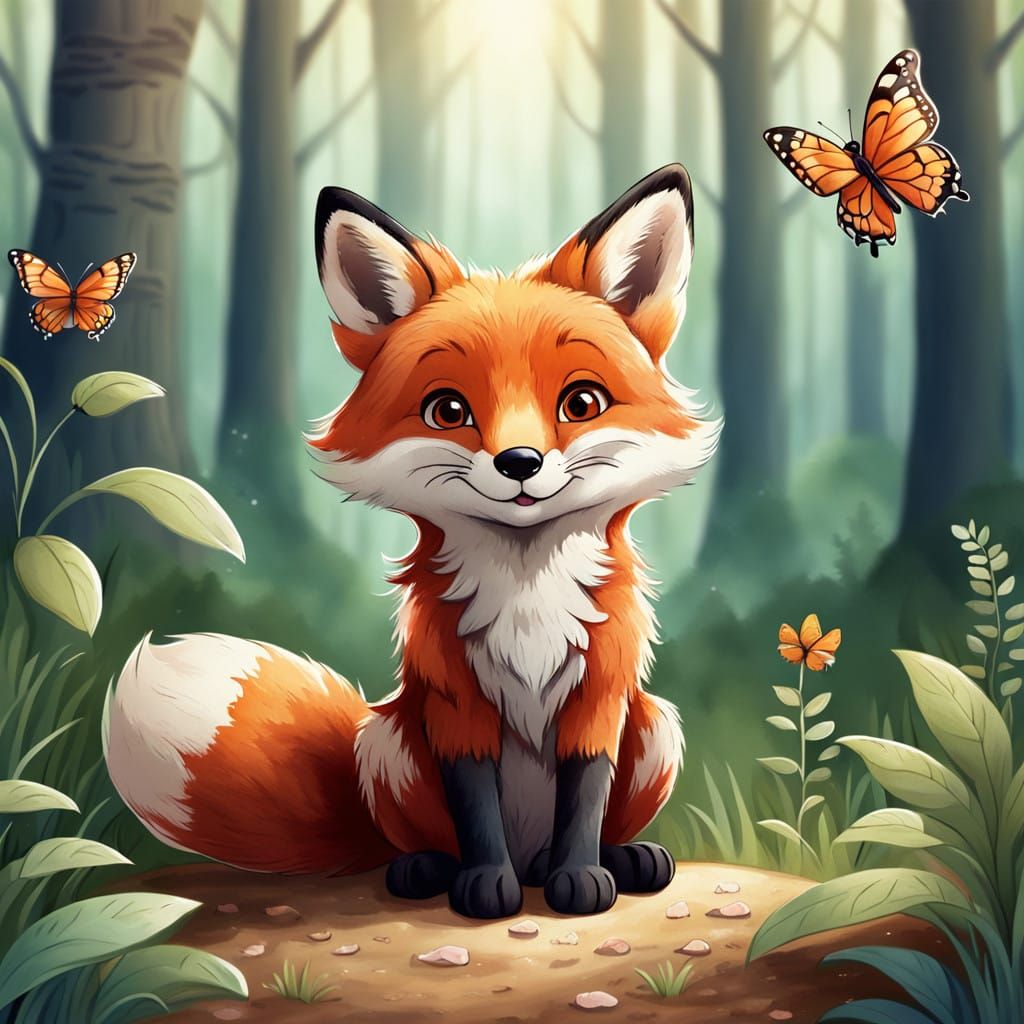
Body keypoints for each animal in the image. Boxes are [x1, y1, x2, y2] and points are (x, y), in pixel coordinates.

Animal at [105, 164, 720, 920]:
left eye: (581, 403)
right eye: (447, 410)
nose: (520, 462)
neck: (527, 594)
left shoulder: (602, 692)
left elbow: (585, 797)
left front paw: (581, 877)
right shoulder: (453, 701)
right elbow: (475, 804)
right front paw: (485, 885)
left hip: (656, 726)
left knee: (589, 829)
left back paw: (617, 858)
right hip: (387, 743)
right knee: (416, 842)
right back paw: (433, 868)